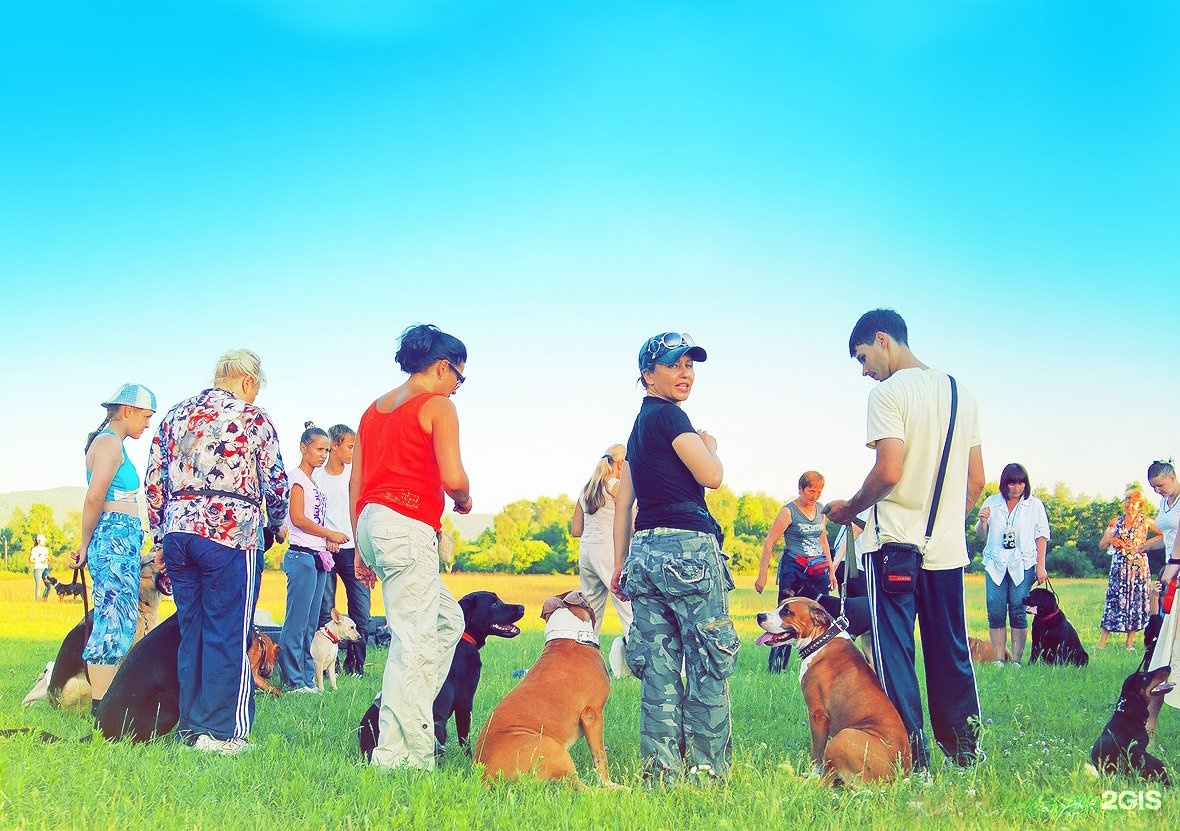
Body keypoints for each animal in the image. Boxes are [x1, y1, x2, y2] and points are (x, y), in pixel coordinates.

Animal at [353, 590, 521, 760]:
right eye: (494, 603)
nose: (522, 607)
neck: (464, 638)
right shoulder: (465, 702)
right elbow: (464, 737)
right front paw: (469, 759)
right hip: (438, 725)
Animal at [471, 590, 618, 783]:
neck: (569, 635)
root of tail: (484, 776)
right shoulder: (592, 716)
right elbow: (600, 756)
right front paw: (607, 781)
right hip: (553, 748)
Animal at [755, 597, 910, 783]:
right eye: (780, 605)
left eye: (787, 612)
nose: (760, 616)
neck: (821, 640)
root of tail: (898, 776)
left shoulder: (818, 716)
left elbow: (817, 755)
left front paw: (813, 772)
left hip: (843, 736)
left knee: (825, 782)